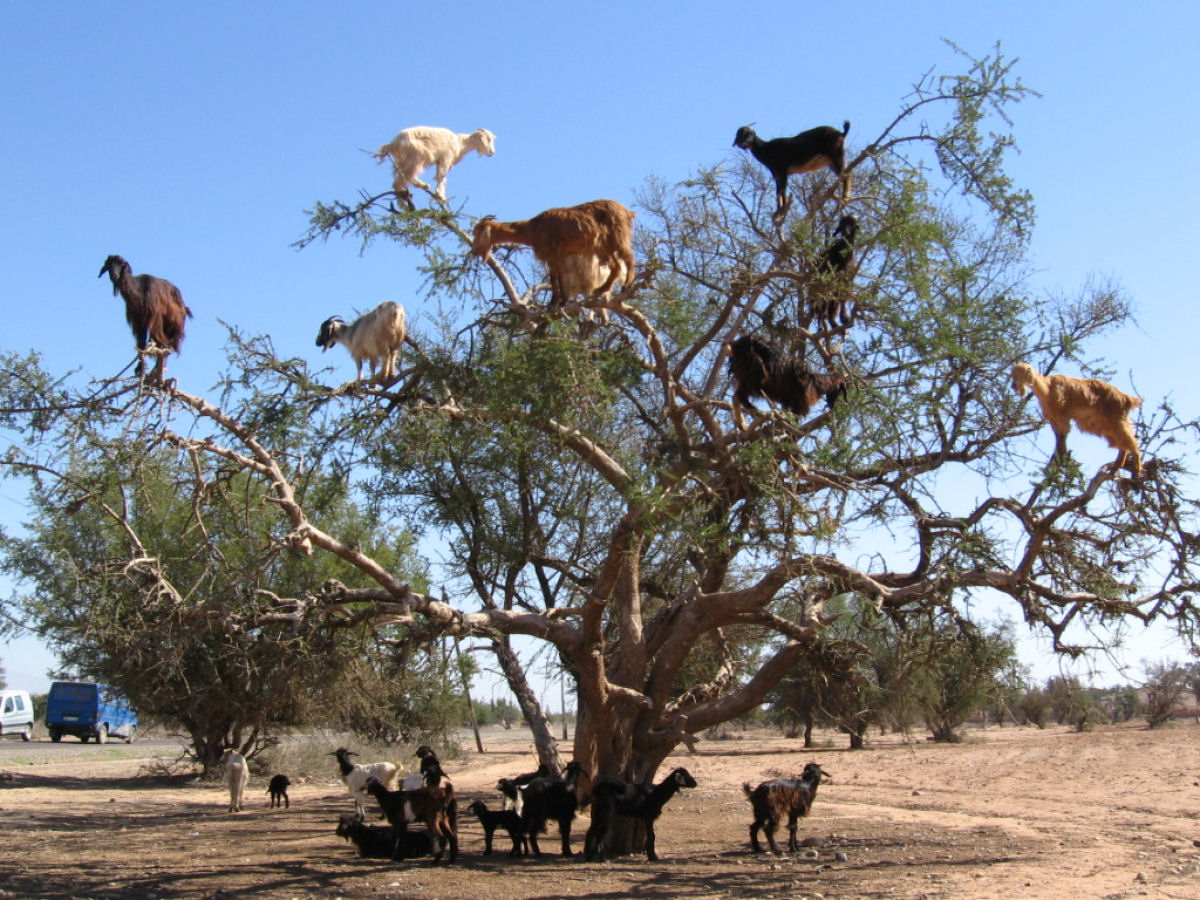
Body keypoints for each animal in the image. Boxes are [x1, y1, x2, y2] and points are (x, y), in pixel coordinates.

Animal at [468, 196, 638, 309]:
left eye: (477, 232)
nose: (474, 251)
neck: (532, 229)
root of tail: (627, 212)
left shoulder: (551, 254)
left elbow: (553, 277)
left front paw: (554, 302)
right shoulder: (558, 256)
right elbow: (559, 276)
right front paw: (562, 301)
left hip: (618, 237)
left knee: (629, 258)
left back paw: (626, 285)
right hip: (604, 246)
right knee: (616, 267)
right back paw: (601, 289)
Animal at [1012, 364, 1142, 482]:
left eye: (1022, 373)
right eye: (1013, 374)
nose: (1014, 385)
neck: (1047, 388)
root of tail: (1127, 399)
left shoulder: (1063, 417)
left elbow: (1063, 437)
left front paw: (1060, 460)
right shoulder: (1055, 419)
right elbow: (1060, 439)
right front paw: (1057, 460)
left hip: (1117, 420)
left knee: (1132, 443)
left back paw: (1136, 473)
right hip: (1108, 426)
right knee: (1123, 445)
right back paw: (1115, 468)